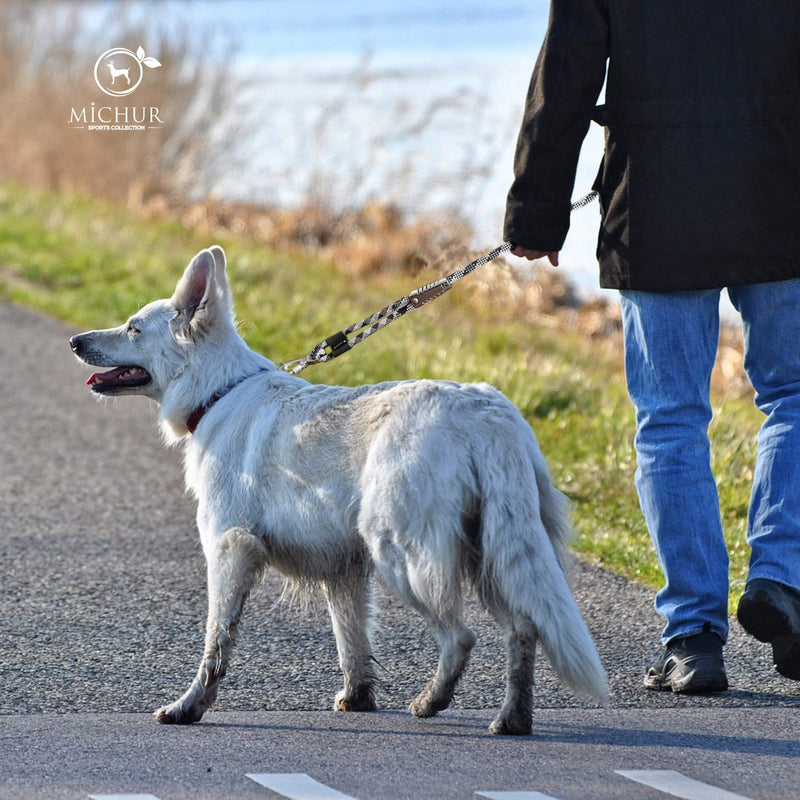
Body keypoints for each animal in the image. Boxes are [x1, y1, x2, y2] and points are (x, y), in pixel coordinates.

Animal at [70, 247, 608, 736]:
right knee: (523, 629)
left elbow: (216, 643)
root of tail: (486, 414)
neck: (219, 392)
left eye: (133, 328)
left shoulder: (230, 550)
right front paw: (358, 699)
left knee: (461, 637)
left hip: (403, 554)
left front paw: (190, 707)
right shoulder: (343, 570)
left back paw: (431, 702)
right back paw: (512, 719)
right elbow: (352, 643)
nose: (75, 340)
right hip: (493, 555)